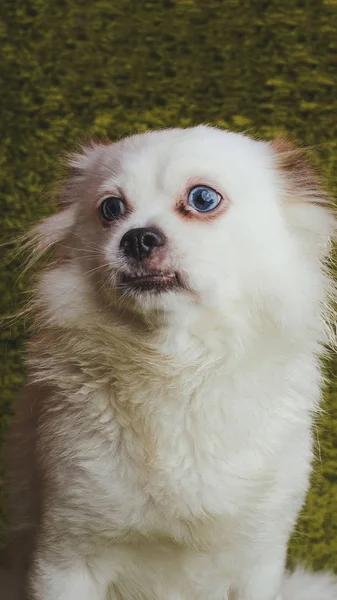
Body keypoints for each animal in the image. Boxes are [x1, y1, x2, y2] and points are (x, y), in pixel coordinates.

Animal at [2, 124, 336, 596]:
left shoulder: (260, 561)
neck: (176, 363)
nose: (137, 236)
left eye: (203, 199)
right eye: (111, 209)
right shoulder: (62, 559)